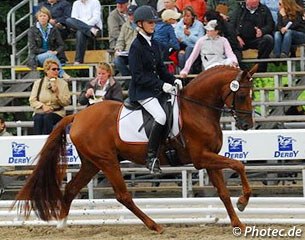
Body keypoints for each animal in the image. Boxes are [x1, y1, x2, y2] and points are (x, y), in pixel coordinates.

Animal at [14, 64, 256, 233]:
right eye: (243, 95)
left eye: (252, 94)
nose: (247, 125)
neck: (197, 110)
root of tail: (79, 115)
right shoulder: (201, 158)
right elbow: (238, 165)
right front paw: (243, 202)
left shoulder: (210, 158)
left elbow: (223, 193)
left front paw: (239, 224)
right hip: (107, 161)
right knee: (123, 195)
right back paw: (155, 226)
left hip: (92, 163)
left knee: (72, 189)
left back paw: (62, 224)